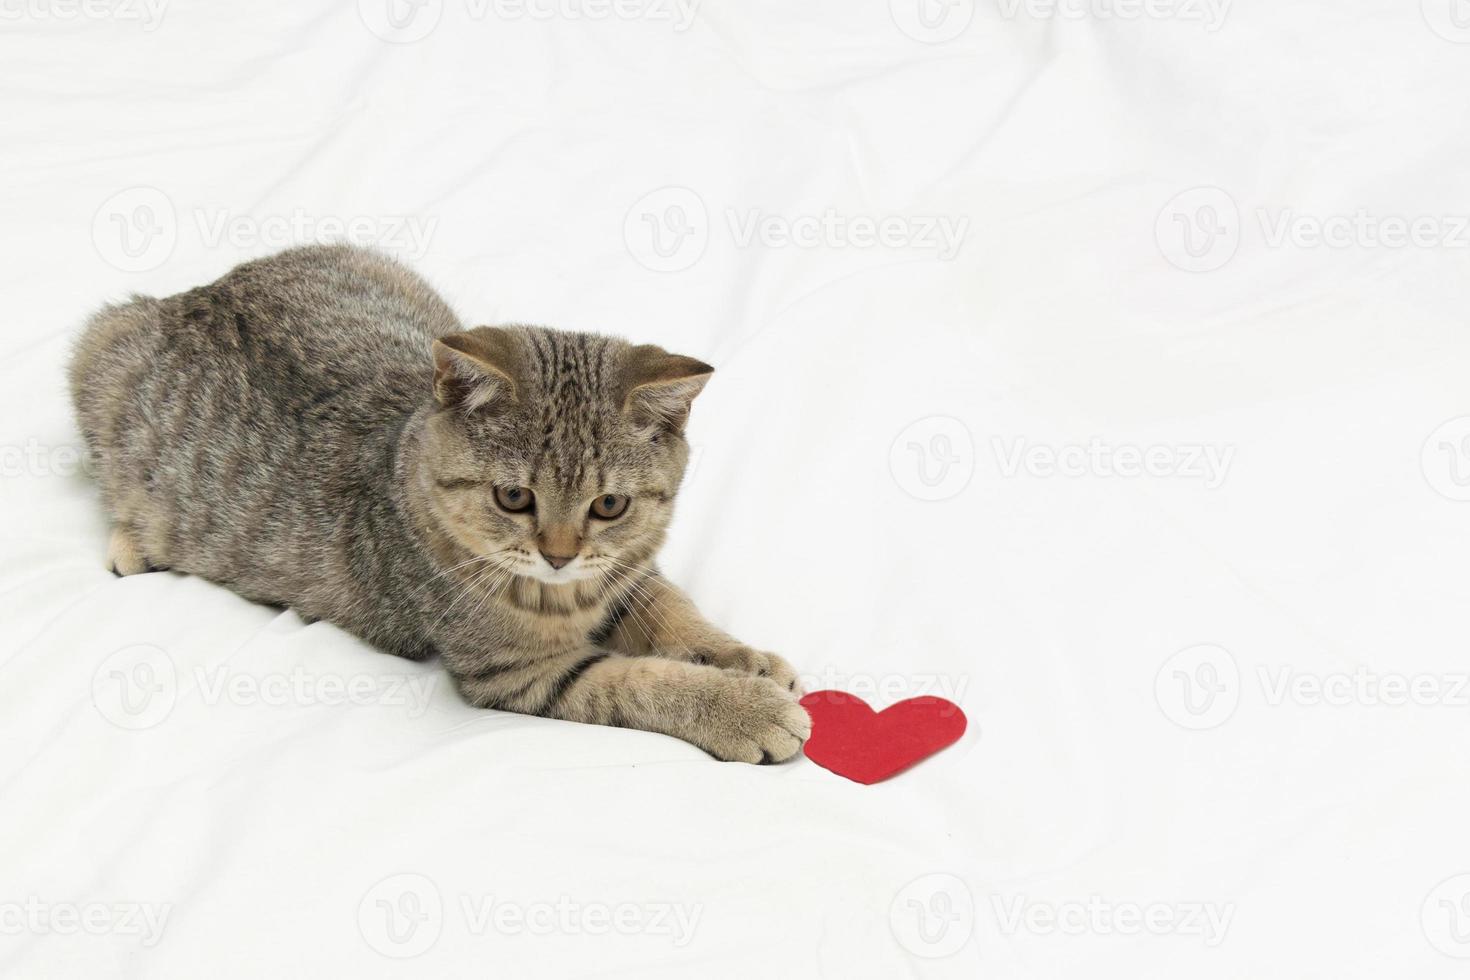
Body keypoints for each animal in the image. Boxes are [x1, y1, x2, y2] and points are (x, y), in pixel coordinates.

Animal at [69, 245, 811, 764]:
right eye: (513, 496)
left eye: (608, 505)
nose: (559, 556)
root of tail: (201, 290)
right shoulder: (522, 675)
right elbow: (641, 679)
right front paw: (743, 707)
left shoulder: (626, 571)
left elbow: (673, 609)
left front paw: (738, 655)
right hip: (96, 349)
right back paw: (132, 543)